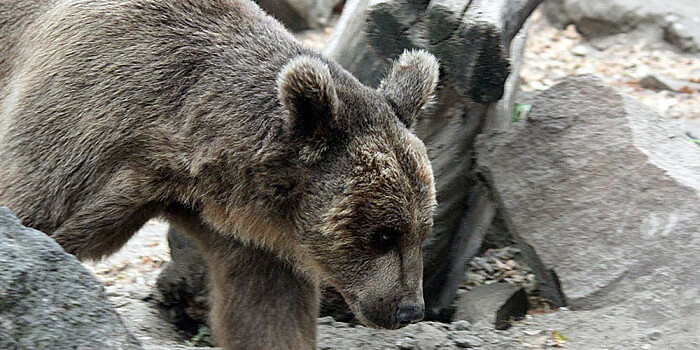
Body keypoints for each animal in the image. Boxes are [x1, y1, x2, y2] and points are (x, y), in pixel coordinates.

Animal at [0, 1, 438, 348]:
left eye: (422, 229)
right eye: (383, 234)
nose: (409, 309)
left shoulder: (253, 236)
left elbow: (267, 313)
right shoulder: (83, 126)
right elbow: (33, 210)